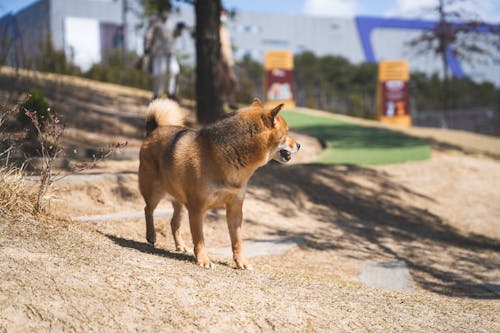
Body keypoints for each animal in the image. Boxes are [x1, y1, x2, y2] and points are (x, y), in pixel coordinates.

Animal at [138, 97, 300, 268]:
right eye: (287, 132)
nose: (299, 145)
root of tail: (154, 130)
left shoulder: (235, 209)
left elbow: (237, 241)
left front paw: (241, 262)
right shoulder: (197, 209)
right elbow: (200, 240)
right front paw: (203, 260)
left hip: (180, 203)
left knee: (173, 223)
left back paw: (180, 246)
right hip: (154, 193)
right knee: (148, 210)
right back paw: (151, 235)